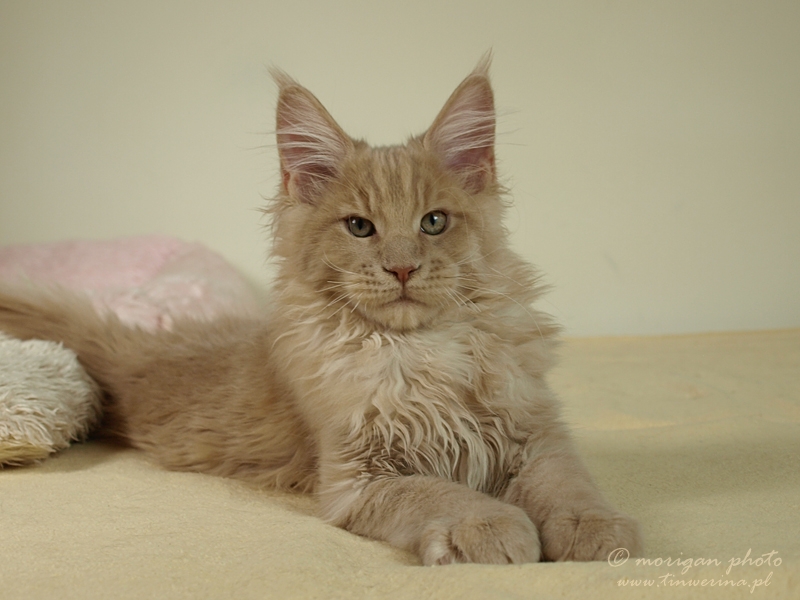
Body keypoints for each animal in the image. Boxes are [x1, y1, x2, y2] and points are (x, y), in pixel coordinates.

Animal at [0, 54, 640, 564]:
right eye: (359, 228)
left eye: (434, 222)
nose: (402, 268)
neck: (421, 353)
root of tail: (144, 347)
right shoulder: (358, 479)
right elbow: (442, 493)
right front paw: (488, 525)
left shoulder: (536, 431)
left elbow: (567, 483)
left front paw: (594, 527)